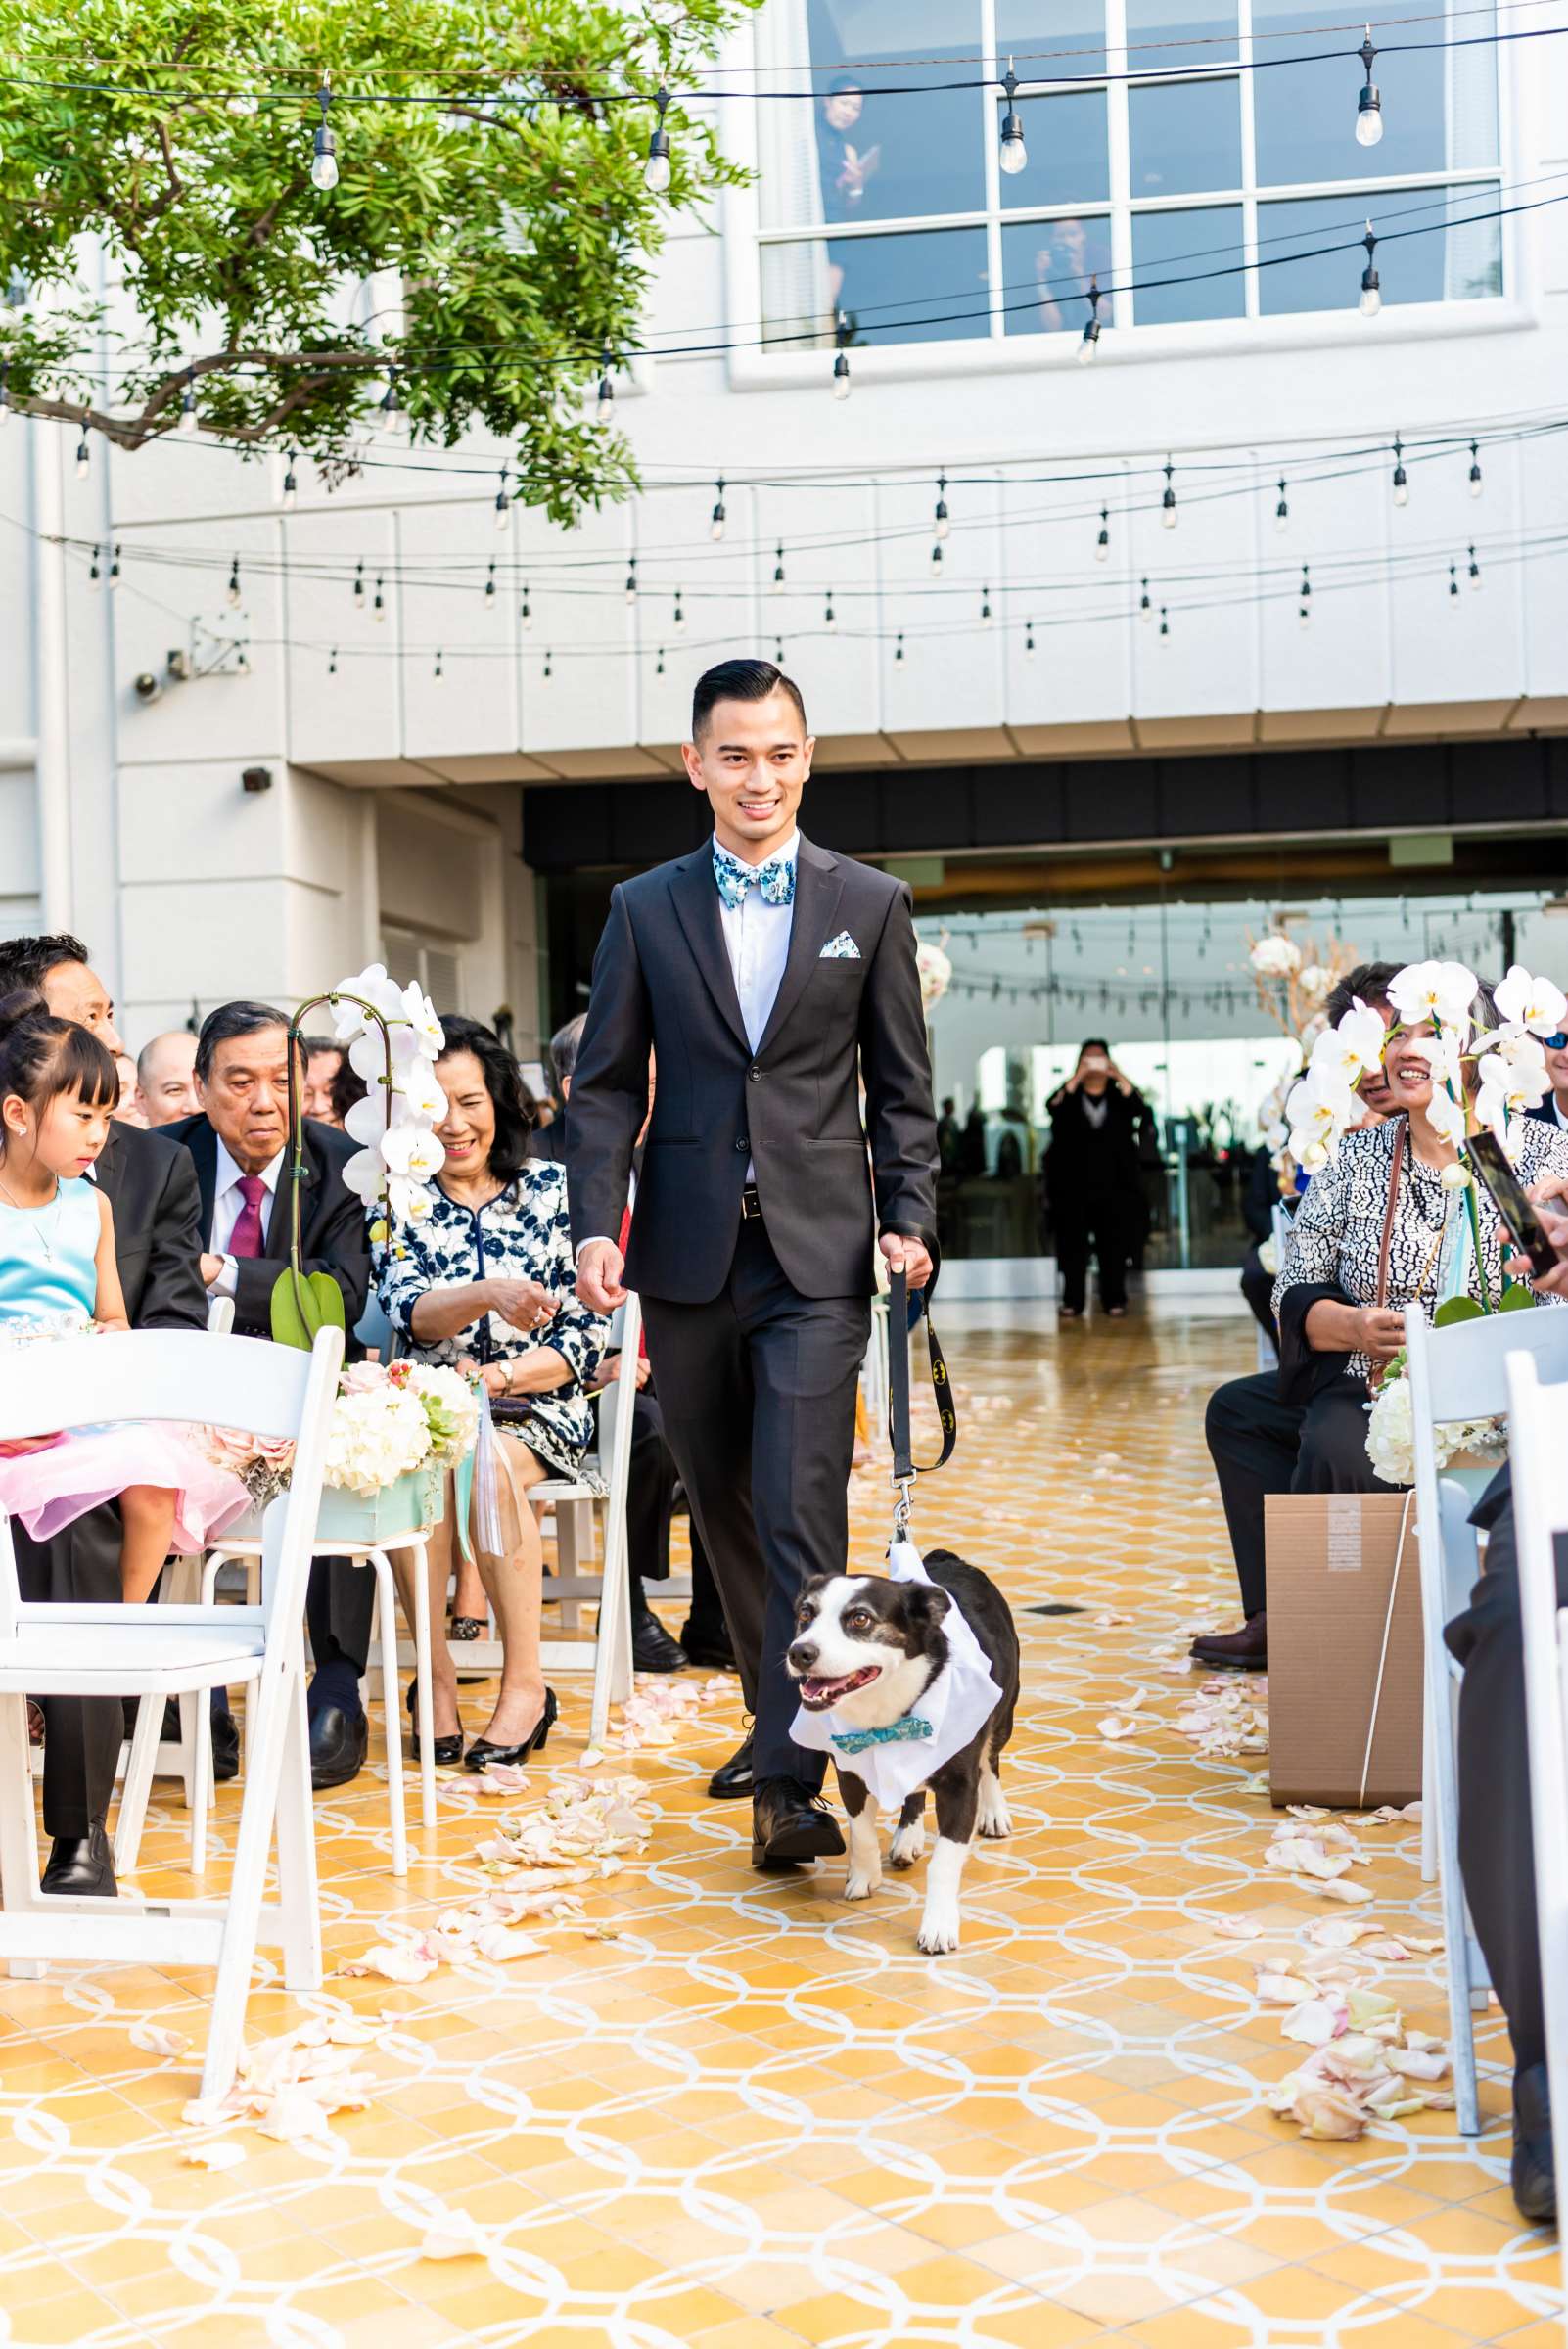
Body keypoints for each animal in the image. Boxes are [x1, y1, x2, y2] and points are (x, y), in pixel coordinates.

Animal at [779, 1550, 1018, 1954]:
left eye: (860, 1618)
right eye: (806, 1614)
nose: (800, 1652)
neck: (887, 1709)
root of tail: (951, 1559)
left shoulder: (959, 1786)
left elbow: (944, 1862)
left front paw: (938, 1926)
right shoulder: (850, 1770)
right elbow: (861, 1831)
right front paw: (864, 1877)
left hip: (1002, 1713)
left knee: (991, 1761)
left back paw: (994, 1812)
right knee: (914, 1791)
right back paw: (908, 1836)